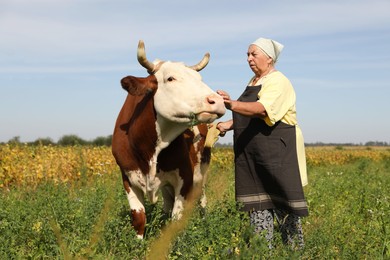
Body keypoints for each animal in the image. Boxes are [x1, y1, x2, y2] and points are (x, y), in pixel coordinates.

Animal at [111, 40, 225, 238]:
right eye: (170, 78)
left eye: (200, 79)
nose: (217, 101)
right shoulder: (127, 177)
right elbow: (139, 217)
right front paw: (139, 242)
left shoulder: (185, 177)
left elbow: (176, 219)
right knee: (167, 203)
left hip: (202, 171)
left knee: (202, 200)